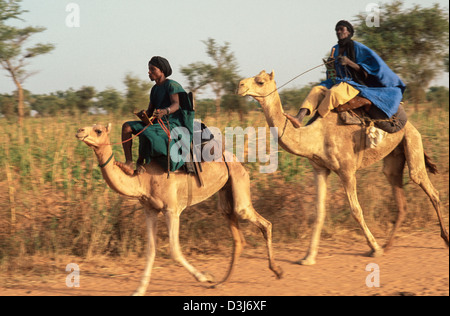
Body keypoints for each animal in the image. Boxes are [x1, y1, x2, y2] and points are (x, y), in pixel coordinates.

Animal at [76, 123, 284, 296]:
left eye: (98, 130)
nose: (79, 131)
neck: (143, 181)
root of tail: (234, 158)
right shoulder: (150, 210)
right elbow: (150, 250)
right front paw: (139, 290)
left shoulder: (172, 209)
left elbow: (174, 250)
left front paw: (205, 276)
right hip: (226, 192)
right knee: (237, 236)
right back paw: (222, 282)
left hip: (239, 180)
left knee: (260, 221)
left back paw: (277, 271)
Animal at [237, 70, 448, 266]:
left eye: (260, 81)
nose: (240, 85)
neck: (315, 137)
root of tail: (408, 120)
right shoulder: (320, 169)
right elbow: (319, 212)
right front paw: (308, 257)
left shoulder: (347, 170)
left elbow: (356, 210)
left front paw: (375, 249)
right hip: (395, 155)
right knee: (399, 196)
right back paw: (388, 245)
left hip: (412, 138)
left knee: (426, 185)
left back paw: (443, 239)